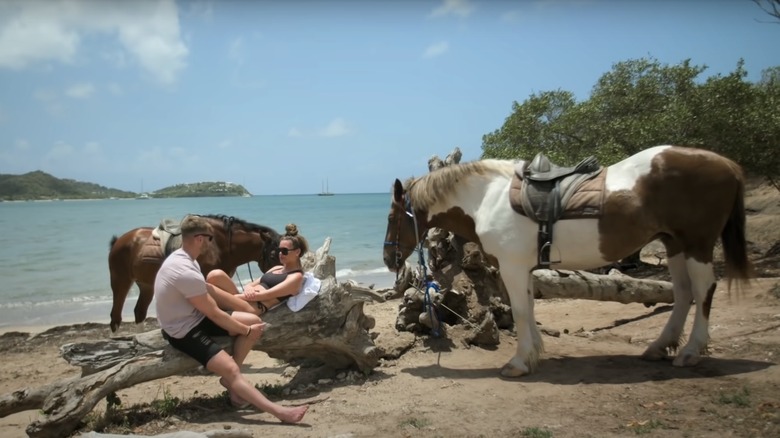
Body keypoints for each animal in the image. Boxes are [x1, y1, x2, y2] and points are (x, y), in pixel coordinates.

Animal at [384, 146, 756, 376]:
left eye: (391, 217)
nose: (389, 258)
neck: (488, 198)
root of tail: (727, 164)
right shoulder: (524, 268)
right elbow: (529, 308)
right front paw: (535, 353)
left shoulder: (513, 267)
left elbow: (521, 311)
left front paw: (519, 363)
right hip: (674, 243)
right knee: (682, 293)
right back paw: (659, 347)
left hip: (697, 243)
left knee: (704, 290)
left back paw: (690, 352)